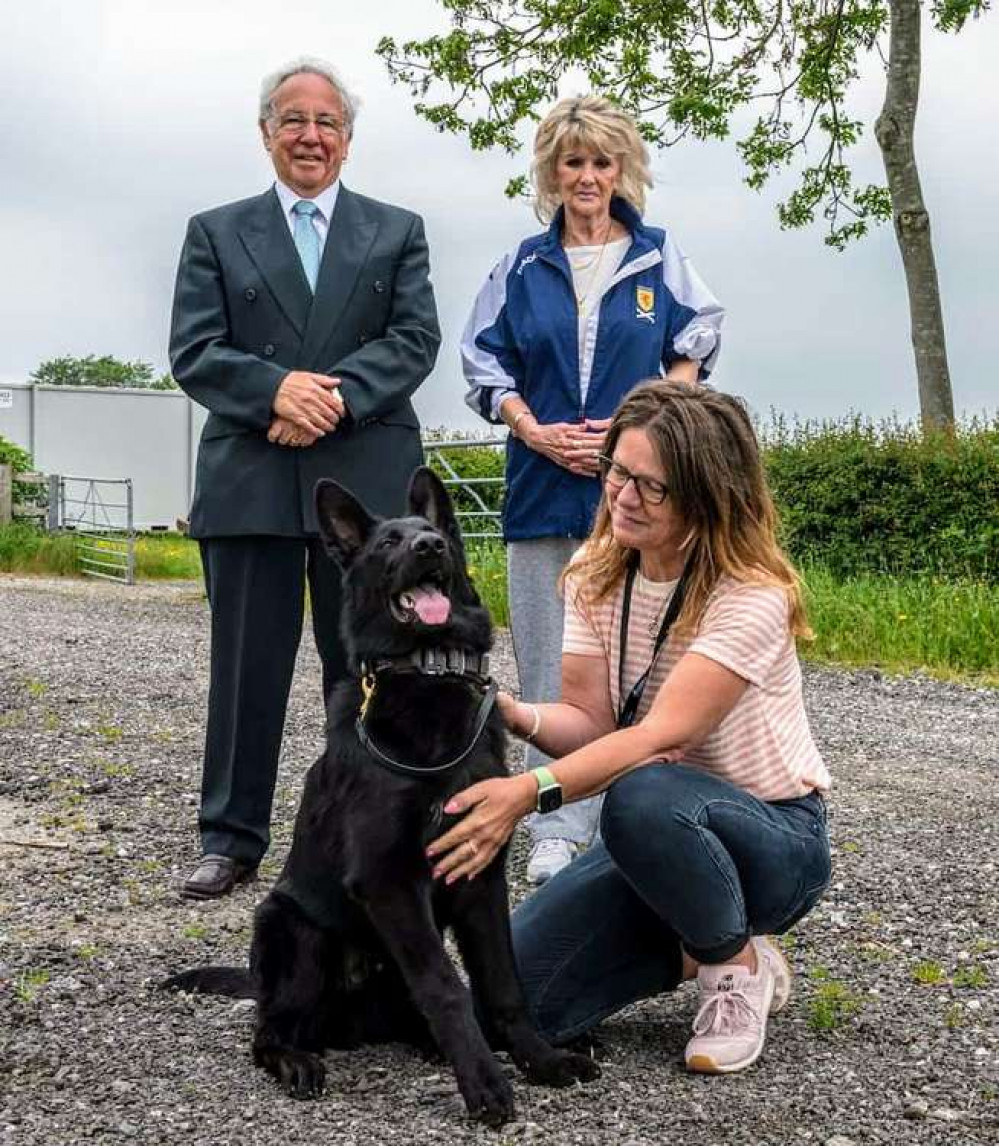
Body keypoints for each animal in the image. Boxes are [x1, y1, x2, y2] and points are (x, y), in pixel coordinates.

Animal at [164, 467, 595, 1127]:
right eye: (389, 543)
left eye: (434, 534)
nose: (430, 547)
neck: (427, 675)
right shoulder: (389, 880)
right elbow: (446, 985)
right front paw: (484, 1082)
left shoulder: (480, 878)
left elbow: (502, 983)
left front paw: (539, 1057)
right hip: (291, 929)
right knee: (269, 1031)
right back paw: (297, 1060)